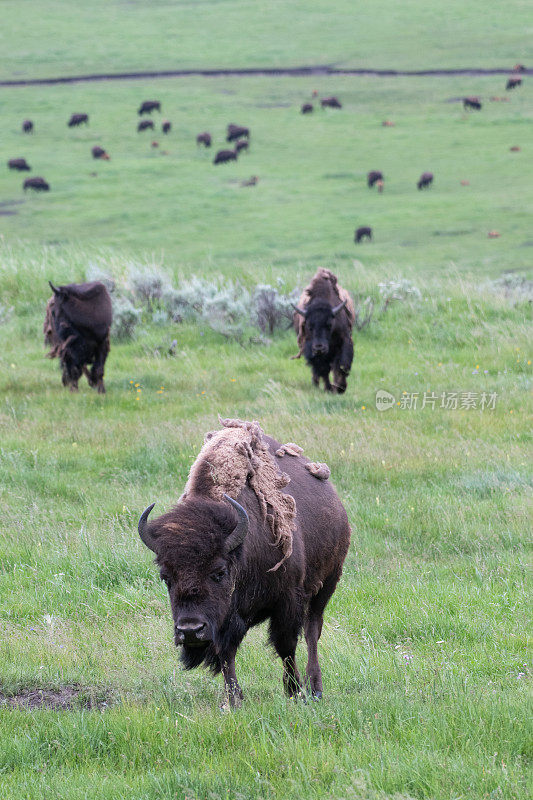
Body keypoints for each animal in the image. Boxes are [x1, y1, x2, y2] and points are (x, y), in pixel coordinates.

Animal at [138, 418, 350, 708]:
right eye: (166, 577)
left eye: (219, 572)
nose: (190, 630)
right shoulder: (225, 620)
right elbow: (226, 654)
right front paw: (234, 700)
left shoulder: (287, 601)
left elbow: (286, 646)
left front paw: (294, 691)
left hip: (325, 585)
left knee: (312, 631)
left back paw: (314, 688)